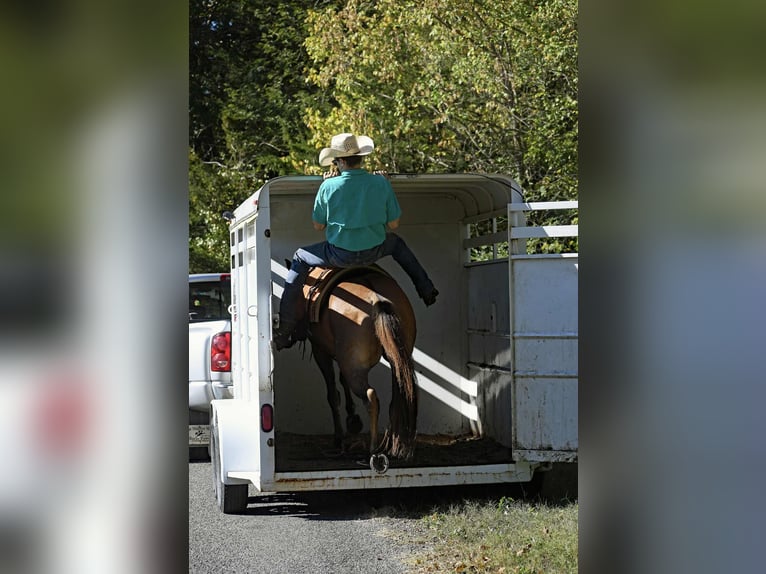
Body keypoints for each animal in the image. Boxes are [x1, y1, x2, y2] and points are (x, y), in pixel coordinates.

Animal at [302, 267, 418, 462]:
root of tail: (377, 299)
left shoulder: (321, 352)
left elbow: (333, 394)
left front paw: (340, 436)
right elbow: (342, 382)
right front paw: (352, 418)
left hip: (353, 367)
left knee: (370, 396)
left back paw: (373, 449)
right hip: (395, 361)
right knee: (396, 398)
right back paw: (392, 445)